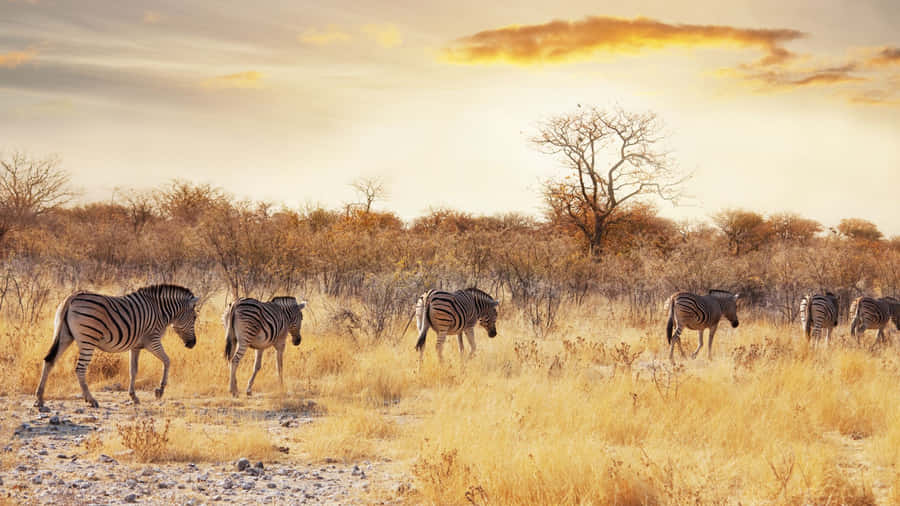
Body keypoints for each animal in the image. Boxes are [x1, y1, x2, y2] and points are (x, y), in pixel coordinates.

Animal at [35, 284, 199, 409]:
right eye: (195, 317)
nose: (193, 344)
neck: (160, 311)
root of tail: (72, 296)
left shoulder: (136, 346)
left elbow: (133, 370)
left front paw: (133, 396)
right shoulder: (152, 341)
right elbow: (167, 361)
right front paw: (160, 390)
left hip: (64, 335)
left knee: (49, 361)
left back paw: (40, 398)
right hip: (88, 339)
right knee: (80, 369)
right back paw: (91, 400)